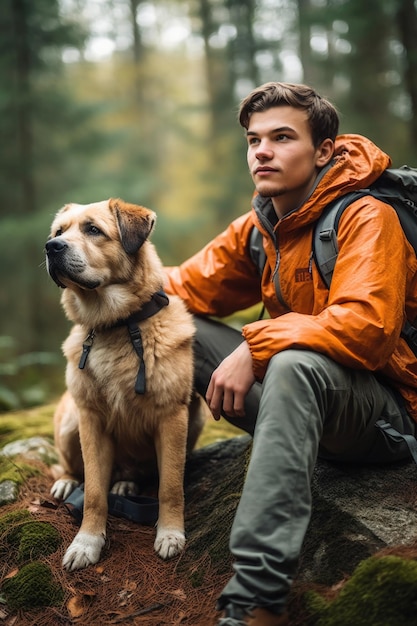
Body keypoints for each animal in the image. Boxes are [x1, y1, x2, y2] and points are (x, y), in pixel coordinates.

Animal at [44, 197, 204, 568]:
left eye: (93, 229)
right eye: (59, 232)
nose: (51, 247)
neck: (115, 325)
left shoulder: (172, 418)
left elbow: (170, 487)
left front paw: (170, 533)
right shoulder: (90, 420)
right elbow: (93, 493)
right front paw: (87, 542)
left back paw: (126, 485)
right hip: (70, 422)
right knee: (73, 467)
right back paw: (68, 482)